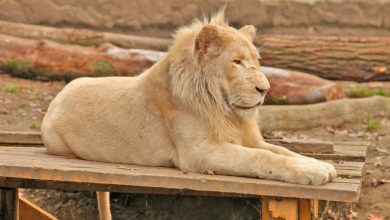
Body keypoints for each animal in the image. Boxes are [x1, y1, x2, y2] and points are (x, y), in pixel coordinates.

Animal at [42, 9, 336, 219]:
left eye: (256, 61)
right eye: (237, 62)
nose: (265, 89)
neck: (225, 110)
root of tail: (59, 95)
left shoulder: (247, 138)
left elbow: (282, 151)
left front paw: (320, 165)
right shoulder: (199, 153)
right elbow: (260, 158)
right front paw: (310, 171)